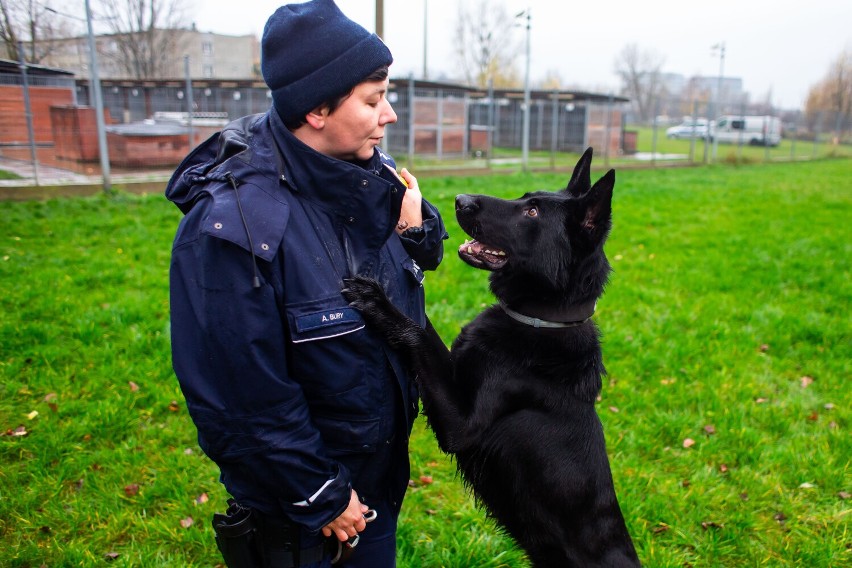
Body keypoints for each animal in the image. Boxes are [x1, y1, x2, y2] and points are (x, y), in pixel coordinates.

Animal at [342, 149, 636, 564]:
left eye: (532, 212)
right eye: (525, 197)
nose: (460, 200)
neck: (540, 320)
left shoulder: (460, 426)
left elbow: (420, 330)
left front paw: (381, 304)